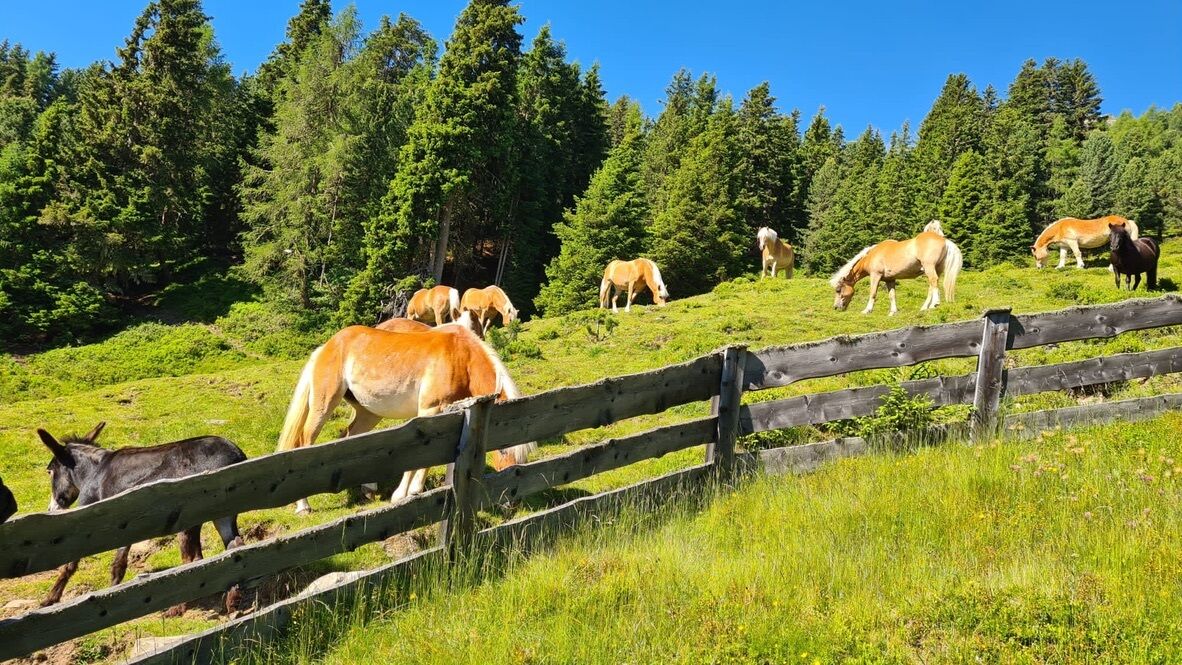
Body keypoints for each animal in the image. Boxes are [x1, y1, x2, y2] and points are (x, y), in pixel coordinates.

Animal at [37, 423, 247, 614]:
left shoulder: (87, 519)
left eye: (50, 471)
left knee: (190, 560)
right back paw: (233, 603)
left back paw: (178, 608)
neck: (94, 472)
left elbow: (70, 564)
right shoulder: (124, 523)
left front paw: (50, 599)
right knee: (233, 546)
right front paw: (114, 590)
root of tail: (236, 455)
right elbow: (119, 562)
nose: (51, 509)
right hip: (222, 514)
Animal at [276, 321, 534, 514]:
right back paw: (303, 506)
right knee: (305, 443)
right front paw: (401, 495)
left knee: (351, 436)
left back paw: (367, 488)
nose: (512, 502)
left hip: (369, 412)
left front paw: (416, 490)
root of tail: (326, 346)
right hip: (324, 404)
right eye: (503, 450)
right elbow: (421, 457)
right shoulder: (429, 411)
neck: (461, 358)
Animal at [830, 225, 963, 315]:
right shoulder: (890, 280)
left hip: (929, 267)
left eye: (838, 290)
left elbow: (873, 293)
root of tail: (944, 240)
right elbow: (892, 295)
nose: (836, 307)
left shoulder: (875, 276)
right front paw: (893, 312)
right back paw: (925, 307)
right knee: (932, 286)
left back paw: (935, 304)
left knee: (934, 282)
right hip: (936, 270)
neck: (872, 255)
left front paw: (867, 310)